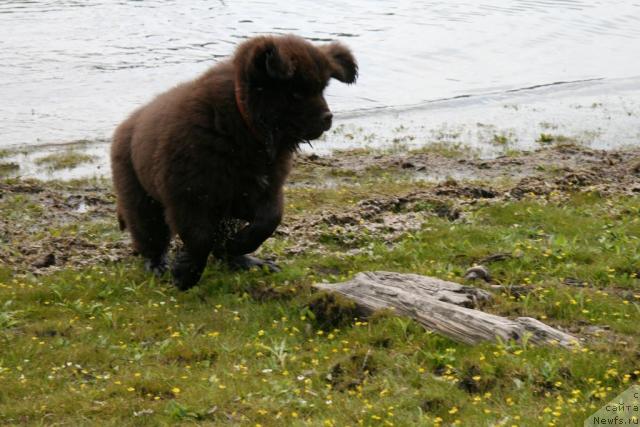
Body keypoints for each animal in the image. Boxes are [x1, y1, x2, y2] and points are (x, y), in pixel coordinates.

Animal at [112, 35, 358, 290]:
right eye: (295, 92)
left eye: (322, 89)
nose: (327, 118)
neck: (243, 127)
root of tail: (126, 125)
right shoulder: (189, 195)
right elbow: (200, 238)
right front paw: (185, 275)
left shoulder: (260, 187)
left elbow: (269, 219)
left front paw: (239, 245)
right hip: (140, 195)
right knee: (151, 234)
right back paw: (157, 265)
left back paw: (246, 261)